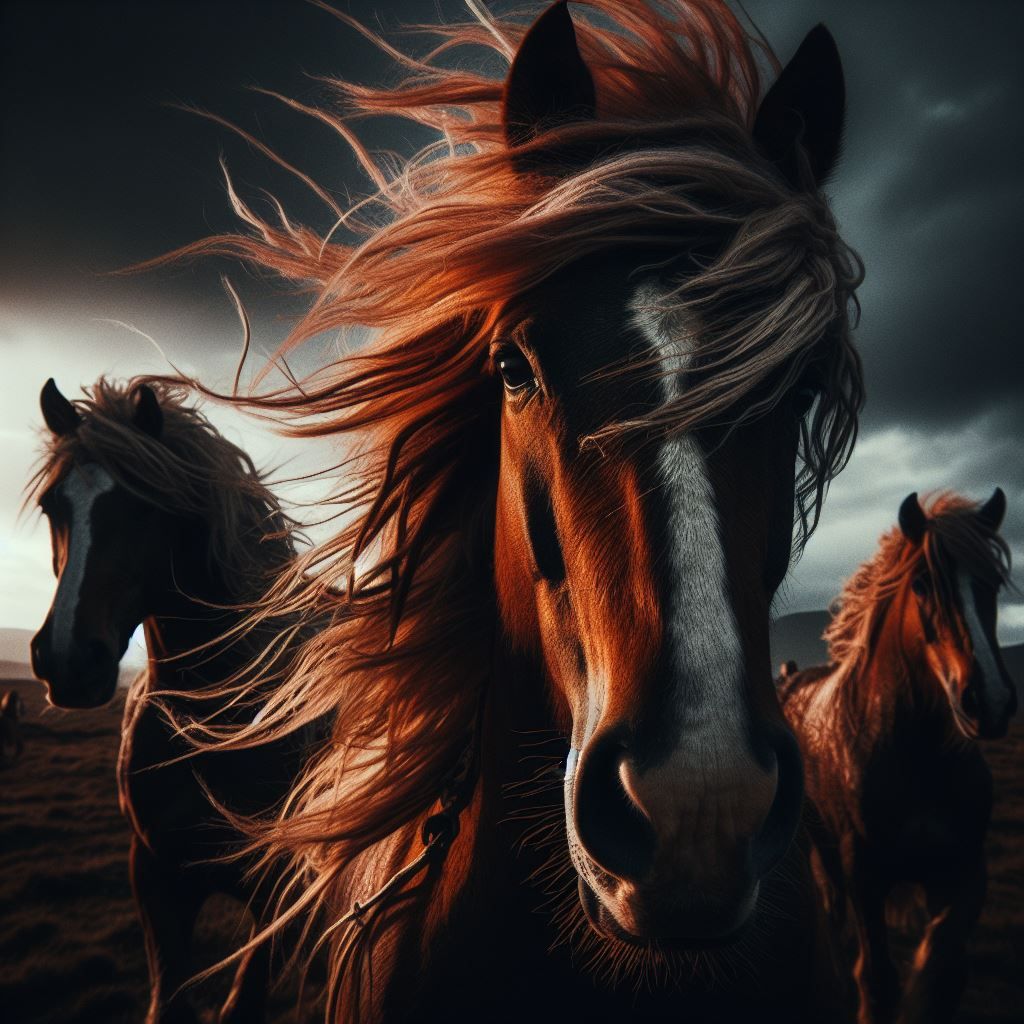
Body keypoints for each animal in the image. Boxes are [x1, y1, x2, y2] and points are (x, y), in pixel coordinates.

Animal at [29, 376, 330, 1024]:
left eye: (148, 505)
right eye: (52, 506)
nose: (68, 660)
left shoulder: (282, 896)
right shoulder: (155, 877)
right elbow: (168, 1003)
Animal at [778, 489, 1017, 1024]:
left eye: (992, 583)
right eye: (924, 584)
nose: (988, 700)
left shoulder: (963, 874)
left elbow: (941, 974)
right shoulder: (865, 877)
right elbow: (877, 980)